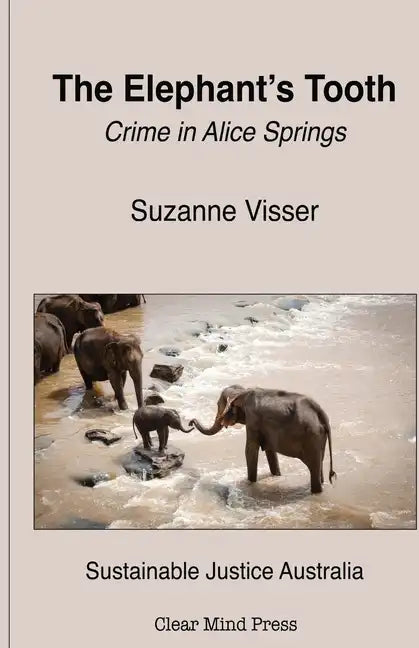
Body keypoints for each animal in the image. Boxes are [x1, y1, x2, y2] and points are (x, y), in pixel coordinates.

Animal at [190, 385, 336, 494]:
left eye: (218, 405)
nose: (191, 422)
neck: (242, 392)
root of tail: (322, 414)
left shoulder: (252, 420)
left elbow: (250, 450)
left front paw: (250, 483)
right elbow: (270, 451)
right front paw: (276, 475)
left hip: (312, 437)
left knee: (314, 468)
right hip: (319, 437)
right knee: (319, 465)